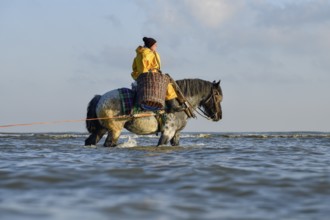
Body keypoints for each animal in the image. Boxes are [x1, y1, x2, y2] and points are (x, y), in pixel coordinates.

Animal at [85, 78, 223, 147]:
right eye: (217, 95)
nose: (218, 116)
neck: (179, 102)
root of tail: (100, 97)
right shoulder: (168, 131)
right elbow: (161, 144)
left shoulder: (176, 133)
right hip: (115, 130)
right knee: (109, 144)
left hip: (102, 129)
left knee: (90, 141)